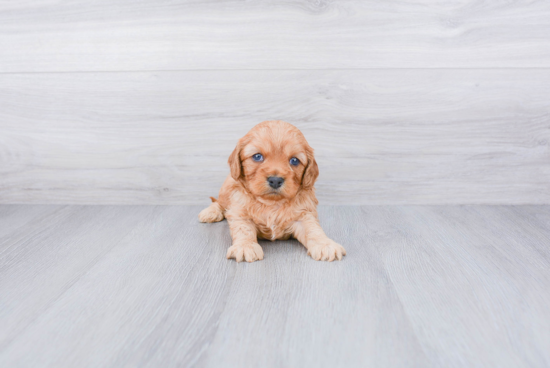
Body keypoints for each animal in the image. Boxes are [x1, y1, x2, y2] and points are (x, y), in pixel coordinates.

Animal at [198, 120, 348, 262]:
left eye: (294, 160)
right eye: (257, 156)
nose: (275, 180)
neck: (272, 203)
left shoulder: (304, 214)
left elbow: (313, 229)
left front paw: (325, 245)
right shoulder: (240, 212)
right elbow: (243, 229)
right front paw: (245, 246)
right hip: (226, 188)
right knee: (219, 203)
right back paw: (210, 212)